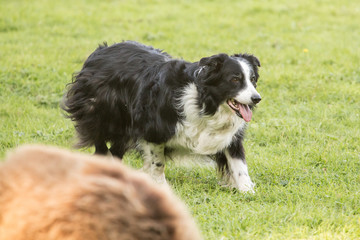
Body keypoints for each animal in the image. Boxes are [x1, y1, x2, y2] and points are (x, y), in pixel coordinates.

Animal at [62, 40, 262, 192]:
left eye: (252, 80)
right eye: (234, 79)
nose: (256, 98)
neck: (206, 102)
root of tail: (100, 51)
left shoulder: (229, 134)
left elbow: (238, 162)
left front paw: (247, 191)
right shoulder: (155, 126)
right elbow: (158, 162)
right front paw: (160, 186)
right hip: (101, 109)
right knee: (101, 141)